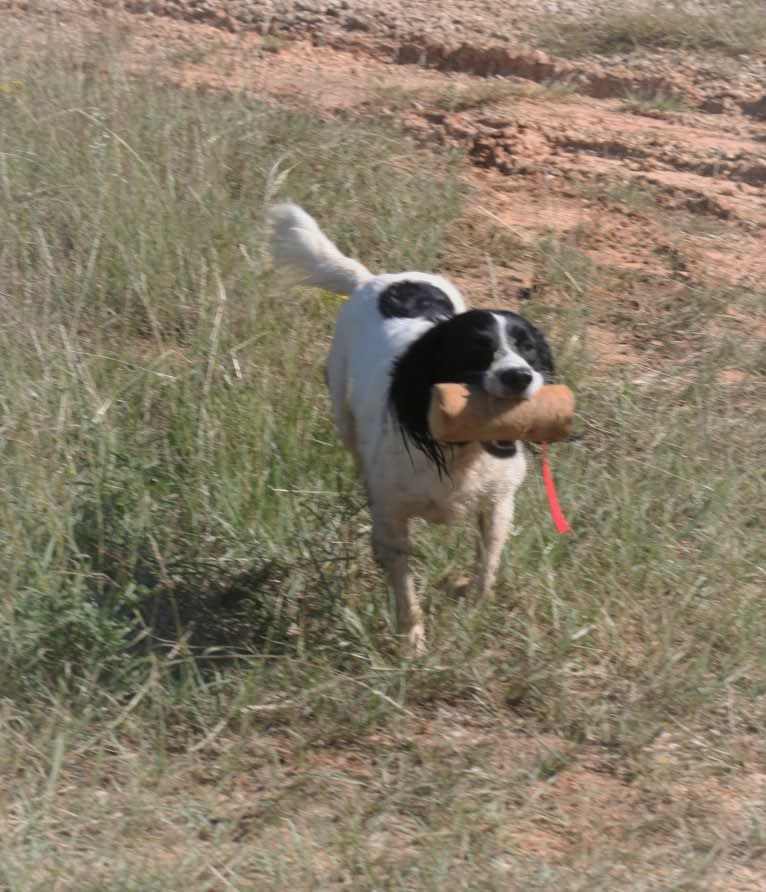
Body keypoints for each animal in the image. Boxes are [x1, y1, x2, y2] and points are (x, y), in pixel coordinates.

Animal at [270, 204, 552, 656]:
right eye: (476, 349)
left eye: (528, 348)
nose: (520, 377)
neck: (459, 451)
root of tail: (374, 279)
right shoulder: (392, 515)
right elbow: (403, 586)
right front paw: (412, 645)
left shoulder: (498, 502)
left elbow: (487, 564)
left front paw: (467, 598)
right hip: (343, 413)